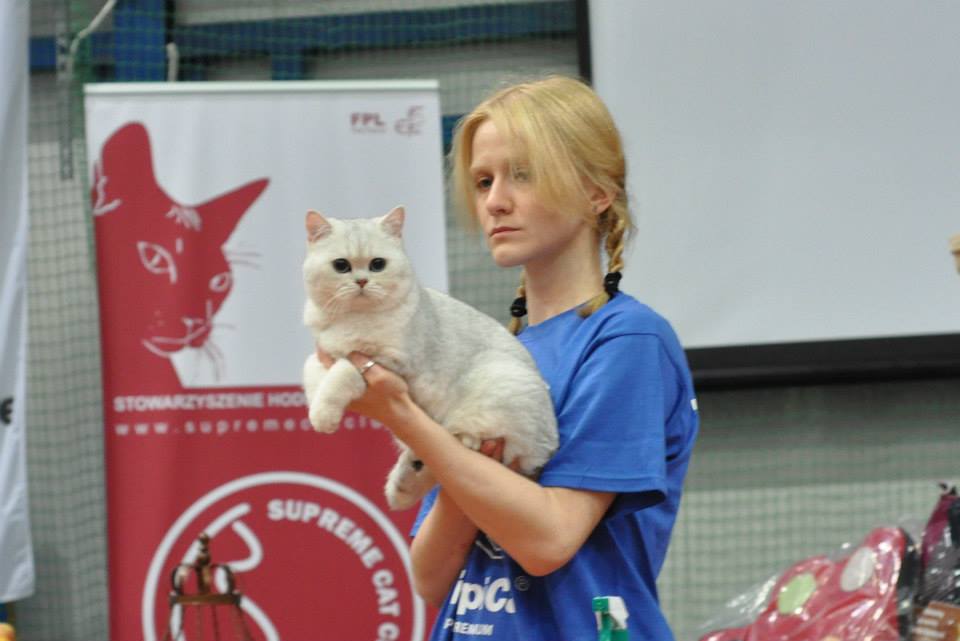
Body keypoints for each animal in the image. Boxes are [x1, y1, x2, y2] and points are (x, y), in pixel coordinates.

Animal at [301, 206, 558, 510]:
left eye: (378, 264)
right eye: (341, 266)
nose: (362, 281)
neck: (353, 318)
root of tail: (550, 444)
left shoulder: (389, 360)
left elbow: (342, 373)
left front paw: (323, 416)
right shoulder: (323, 351)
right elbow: (311, 370)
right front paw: (316, 405)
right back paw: (403, 483)